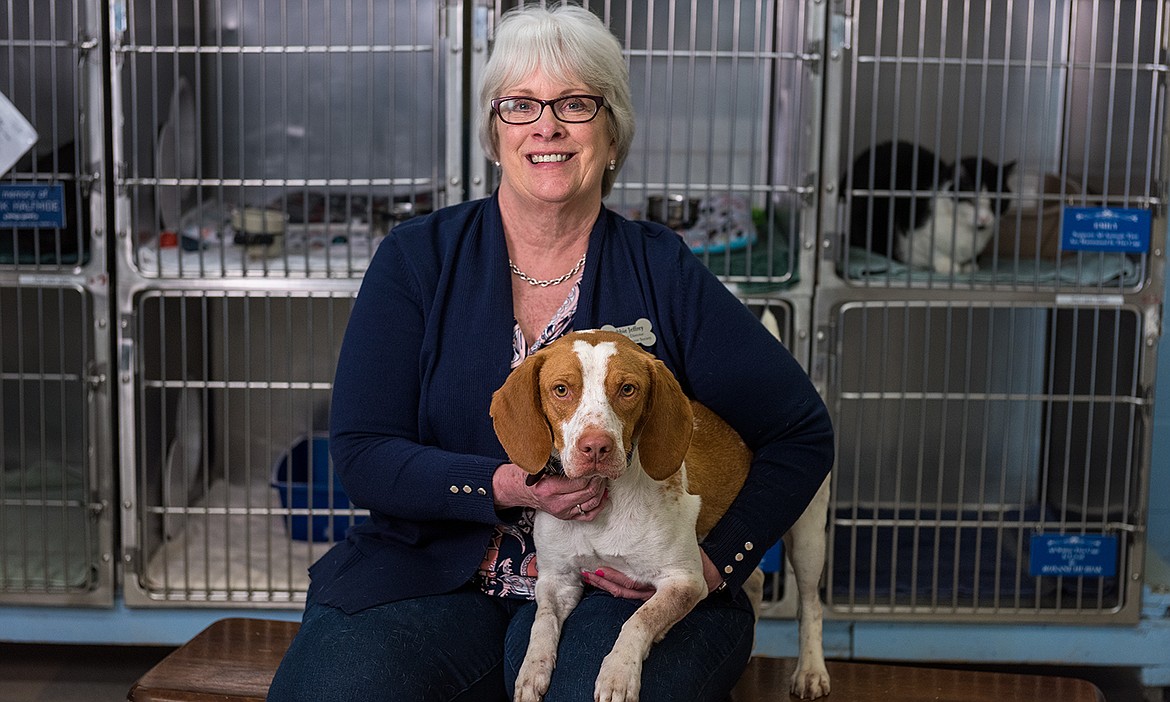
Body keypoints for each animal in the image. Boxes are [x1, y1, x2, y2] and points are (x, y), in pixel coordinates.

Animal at [489, 329, 828, 702]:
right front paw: (531, 670)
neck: (607, 497)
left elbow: (640, 618)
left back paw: (811, 671)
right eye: (561, 389)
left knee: (810, 605)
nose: (596, 447)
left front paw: (618, 672)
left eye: (627, 389)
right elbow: (543, 622)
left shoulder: (685, 580)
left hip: (808, 536)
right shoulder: (556, 580)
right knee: (754, 580)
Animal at [842, 139, 1015, 273]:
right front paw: (947, 265)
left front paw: (969, 265)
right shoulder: (911, 228)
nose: (984, 218)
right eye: (971, 201)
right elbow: (932, 248)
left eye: (996, 202)